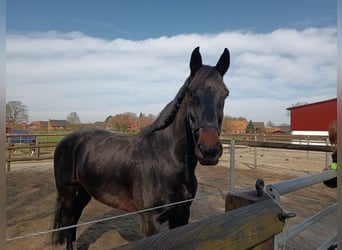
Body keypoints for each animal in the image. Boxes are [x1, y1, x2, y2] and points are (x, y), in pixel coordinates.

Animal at [50, 46, 230, 248]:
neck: (166, 160)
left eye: (225, 93)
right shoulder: (151, 221)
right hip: (68, 193)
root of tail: (67, 140)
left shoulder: (182, 215)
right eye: (191, 92)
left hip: (84, 192)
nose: (209, 150)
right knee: (68, 224)